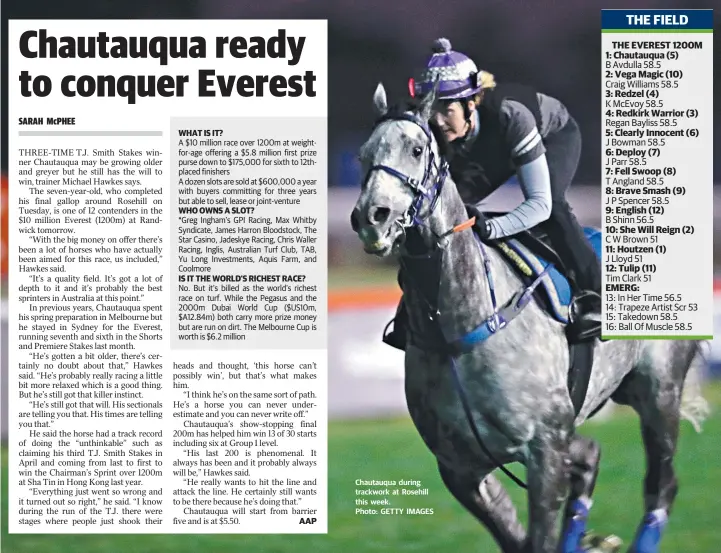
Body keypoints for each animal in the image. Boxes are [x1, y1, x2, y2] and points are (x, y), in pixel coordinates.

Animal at [348, 83, 708, 552]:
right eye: (363, 154)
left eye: (416, 148)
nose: (372, 217)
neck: (460, 324)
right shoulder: (461, 466)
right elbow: (518, 538)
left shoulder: (546, 449)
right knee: (592, 457)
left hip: (659, 393)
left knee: (661, 484)